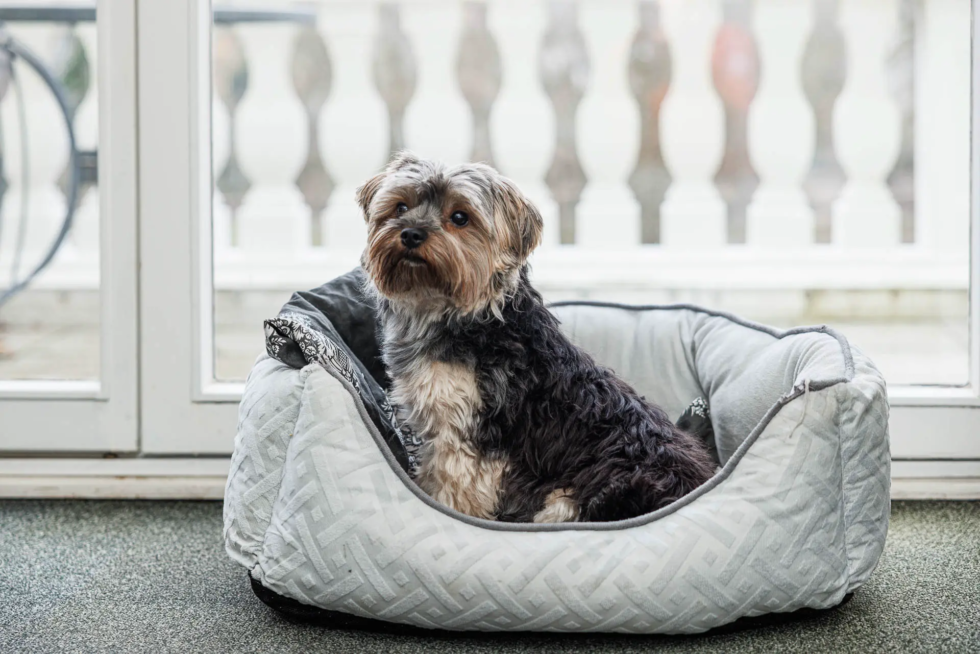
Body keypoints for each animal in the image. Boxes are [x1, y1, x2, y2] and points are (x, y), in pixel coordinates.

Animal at [356, 152, 716, 524]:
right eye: (400, 206)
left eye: (459, 217)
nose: (411, 233)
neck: (452, 312)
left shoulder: (466, 430)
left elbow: (453, 492)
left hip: (571, 498)